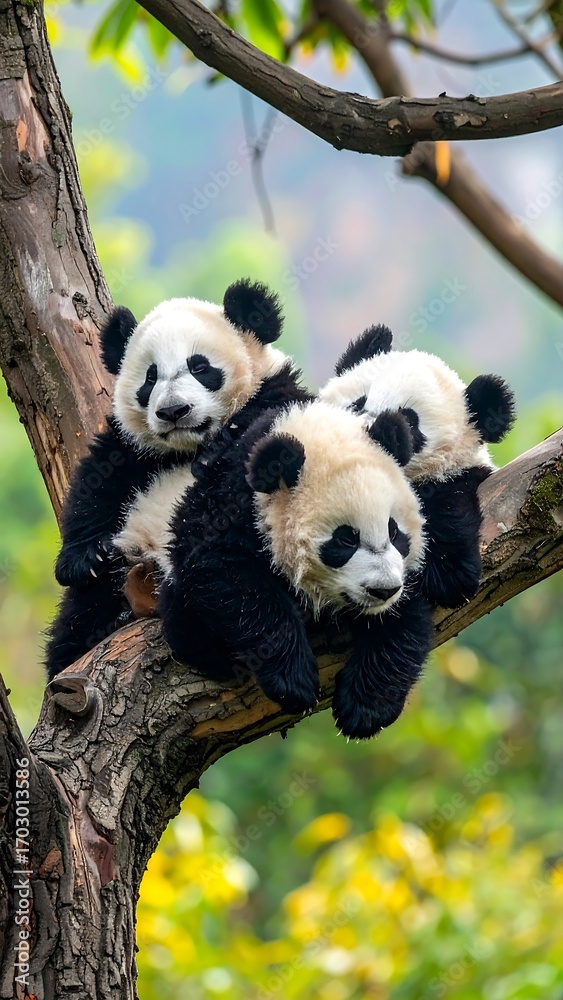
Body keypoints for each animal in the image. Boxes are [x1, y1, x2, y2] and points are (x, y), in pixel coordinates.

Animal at [45, 279, 293, 679]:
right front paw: (84, 558)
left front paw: (219, 452)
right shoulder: (132, 448)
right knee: (79, 620)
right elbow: (96, 485)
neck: (187, 447)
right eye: (150, 377)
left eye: (200, 367)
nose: (174, 410)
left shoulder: (277, 397)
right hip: (113, 575)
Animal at [160, 400, 434, 740]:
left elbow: (407, 618)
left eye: (394, 532)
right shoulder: (228, 507)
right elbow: (229, 580)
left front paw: (366, 709)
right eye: (345, 539)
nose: (383, 590)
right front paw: (293, 682)